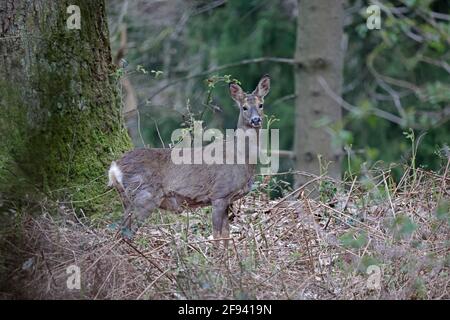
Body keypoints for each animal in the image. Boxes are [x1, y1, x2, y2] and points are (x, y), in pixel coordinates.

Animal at [109, 75, 270, 245]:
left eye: (261, 105)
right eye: (244, 107)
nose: (256, 120)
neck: (242, 158)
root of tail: (114, 168)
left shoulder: (227, 199)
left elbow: (226, 234)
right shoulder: (219, 193)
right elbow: (217, 235)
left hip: (130, 199)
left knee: (119, 229)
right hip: (143, 195)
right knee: (125, 232)